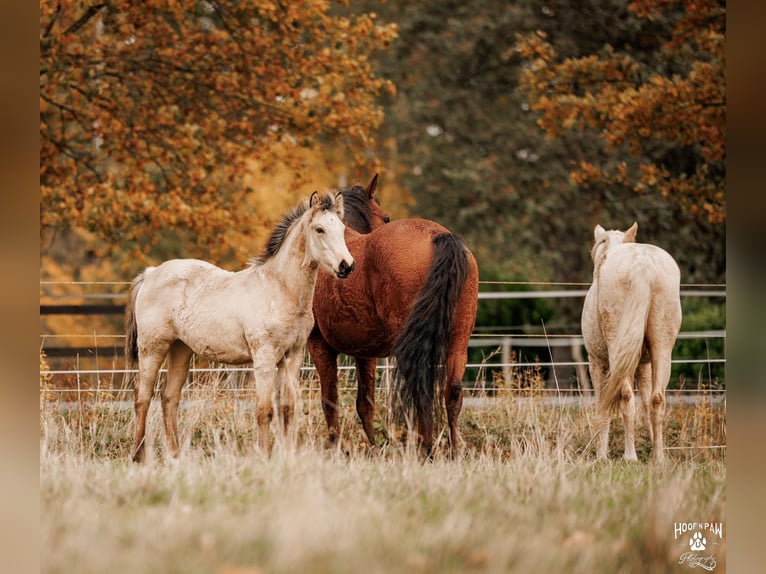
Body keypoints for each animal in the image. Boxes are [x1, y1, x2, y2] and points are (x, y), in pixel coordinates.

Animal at [125, 191, 354, 462]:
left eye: (342, 229)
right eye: (319, 229)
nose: (346, 265)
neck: (279, 288)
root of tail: (150, 274)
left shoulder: (293, 356)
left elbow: (287, 409)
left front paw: (287, 457)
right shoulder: (264, 356)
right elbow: (264, 410)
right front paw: (264, 456)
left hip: (180, 349)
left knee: (169, 397)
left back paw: (176, 457)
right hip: (153, 347)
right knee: (143, 396)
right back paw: (138, 456)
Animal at [309, 175, 479, 458]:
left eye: (386, 218)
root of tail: (438, 235)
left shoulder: (321, 345)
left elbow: (331, 400)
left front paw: (338, 447)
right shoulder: (364, 352)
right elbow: (364, 402)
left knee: (422, 388)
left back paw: (426, 449)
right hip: (458, 341)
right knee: (452, 390)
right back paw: (453, 451)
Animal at [581, 222, 682, 462]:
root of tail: (642, 264)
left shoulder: (596, 363)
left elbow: (603, 406)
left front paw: (601, 456)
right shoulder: (644, 366)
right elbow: (646, 405)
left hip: (617, 351)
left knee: (626, 397)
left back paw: (630, 456)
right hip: (661, 348)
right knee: (657, 399)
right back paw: (658, 459)